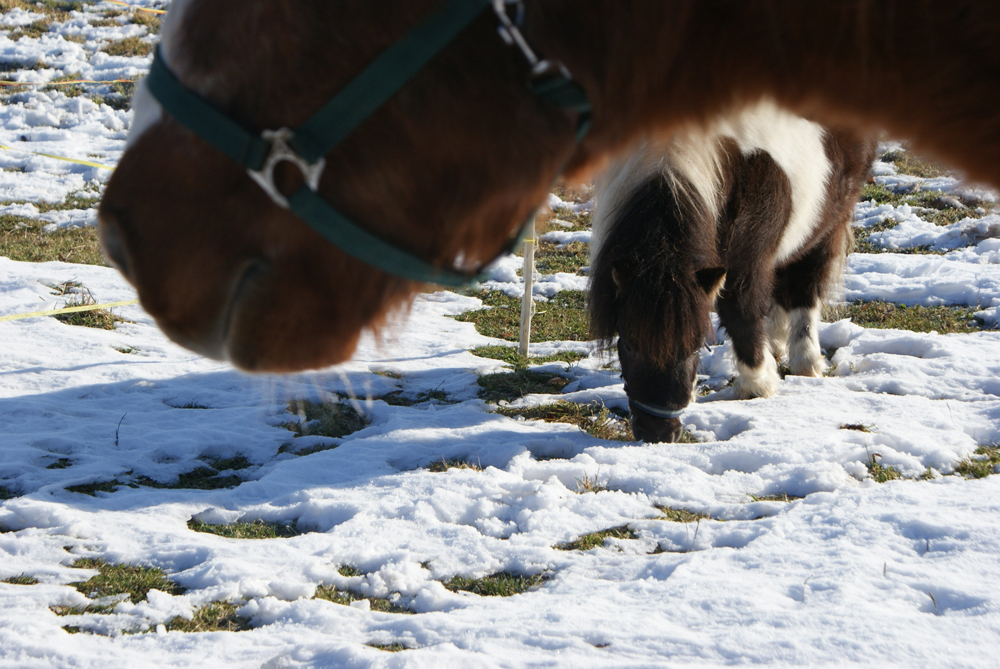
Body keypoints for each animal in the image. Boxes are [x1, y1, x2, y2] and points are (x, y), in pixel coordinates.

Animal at [584, 102, 876, 440]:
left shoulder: (746, 258)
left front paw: (757, 384)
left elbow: (740, 310)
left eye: (695, 347)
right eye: (629, 344)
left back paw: (806, 361)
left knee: (805, 290)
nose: (658, 434)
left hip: (826, 225)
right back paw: (775, 344)